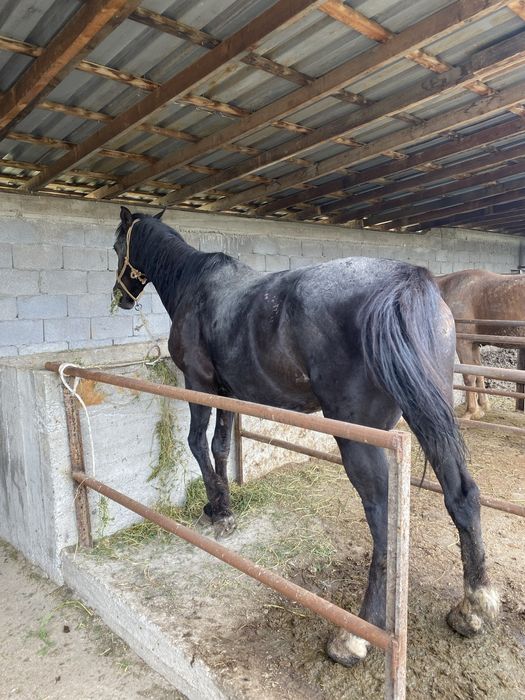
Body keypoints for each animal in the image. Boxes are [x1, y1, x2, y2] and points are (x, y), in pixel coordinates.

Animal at [112, 207, 499, 667]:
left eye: (116, 245)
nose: (120, 297)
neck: (196, 285)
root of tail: (405, 282)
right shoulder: (226, 393)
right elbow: (221, 447)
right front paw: (222, 506)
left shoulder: (199, 385)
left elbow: (197, 444)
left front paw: (216, 512)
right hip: (431, 418)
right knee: (462, 495)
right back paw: (473, 607)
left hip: (363, 440)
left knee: (384, 518)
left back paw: (353, 637)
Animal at [436, 269, 525, 420]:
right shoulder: (474, 343)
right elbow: (478, 371)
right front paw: (482, 407)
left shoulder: (463, 343)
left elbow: (469, 375)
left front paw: (470, 411)